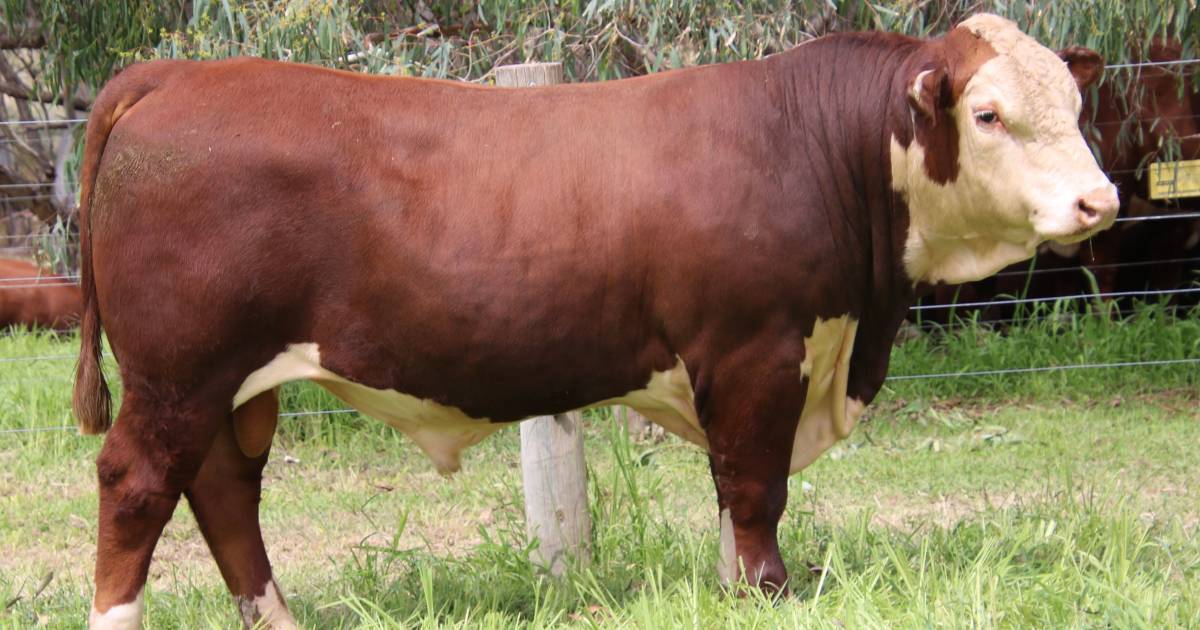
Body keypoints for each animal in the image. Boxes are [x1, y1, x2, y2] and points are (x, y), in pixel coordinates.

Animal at [79, 12, 1118, 624]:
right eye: (988, 114)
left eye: (1075, 102)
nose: (1100, 200)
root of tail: (178, 73)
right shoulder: (755, 349)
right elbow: (755, 488)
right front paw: (766, 595)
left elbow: (737, 487)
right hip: (178, 371)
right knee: (139, 486)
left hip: (231, 383)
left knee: (224, 492)